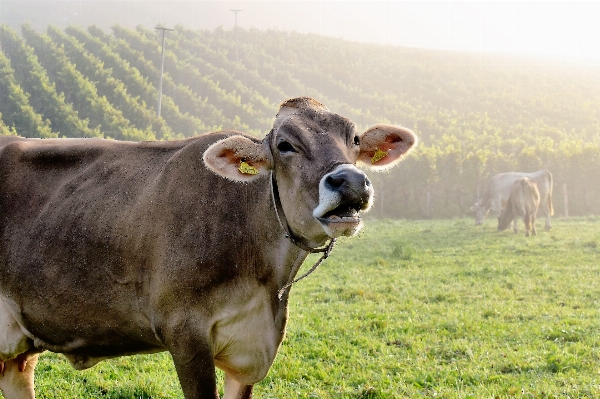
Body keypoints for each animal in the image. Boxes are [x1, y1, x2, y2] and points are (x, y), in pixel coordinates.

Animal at [0, 97, 418, 399]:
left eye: (355, 140)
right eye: (285, 145)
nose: (351, 181)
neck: (265, 281)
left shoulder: (255, 348)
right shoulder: (184, 332)